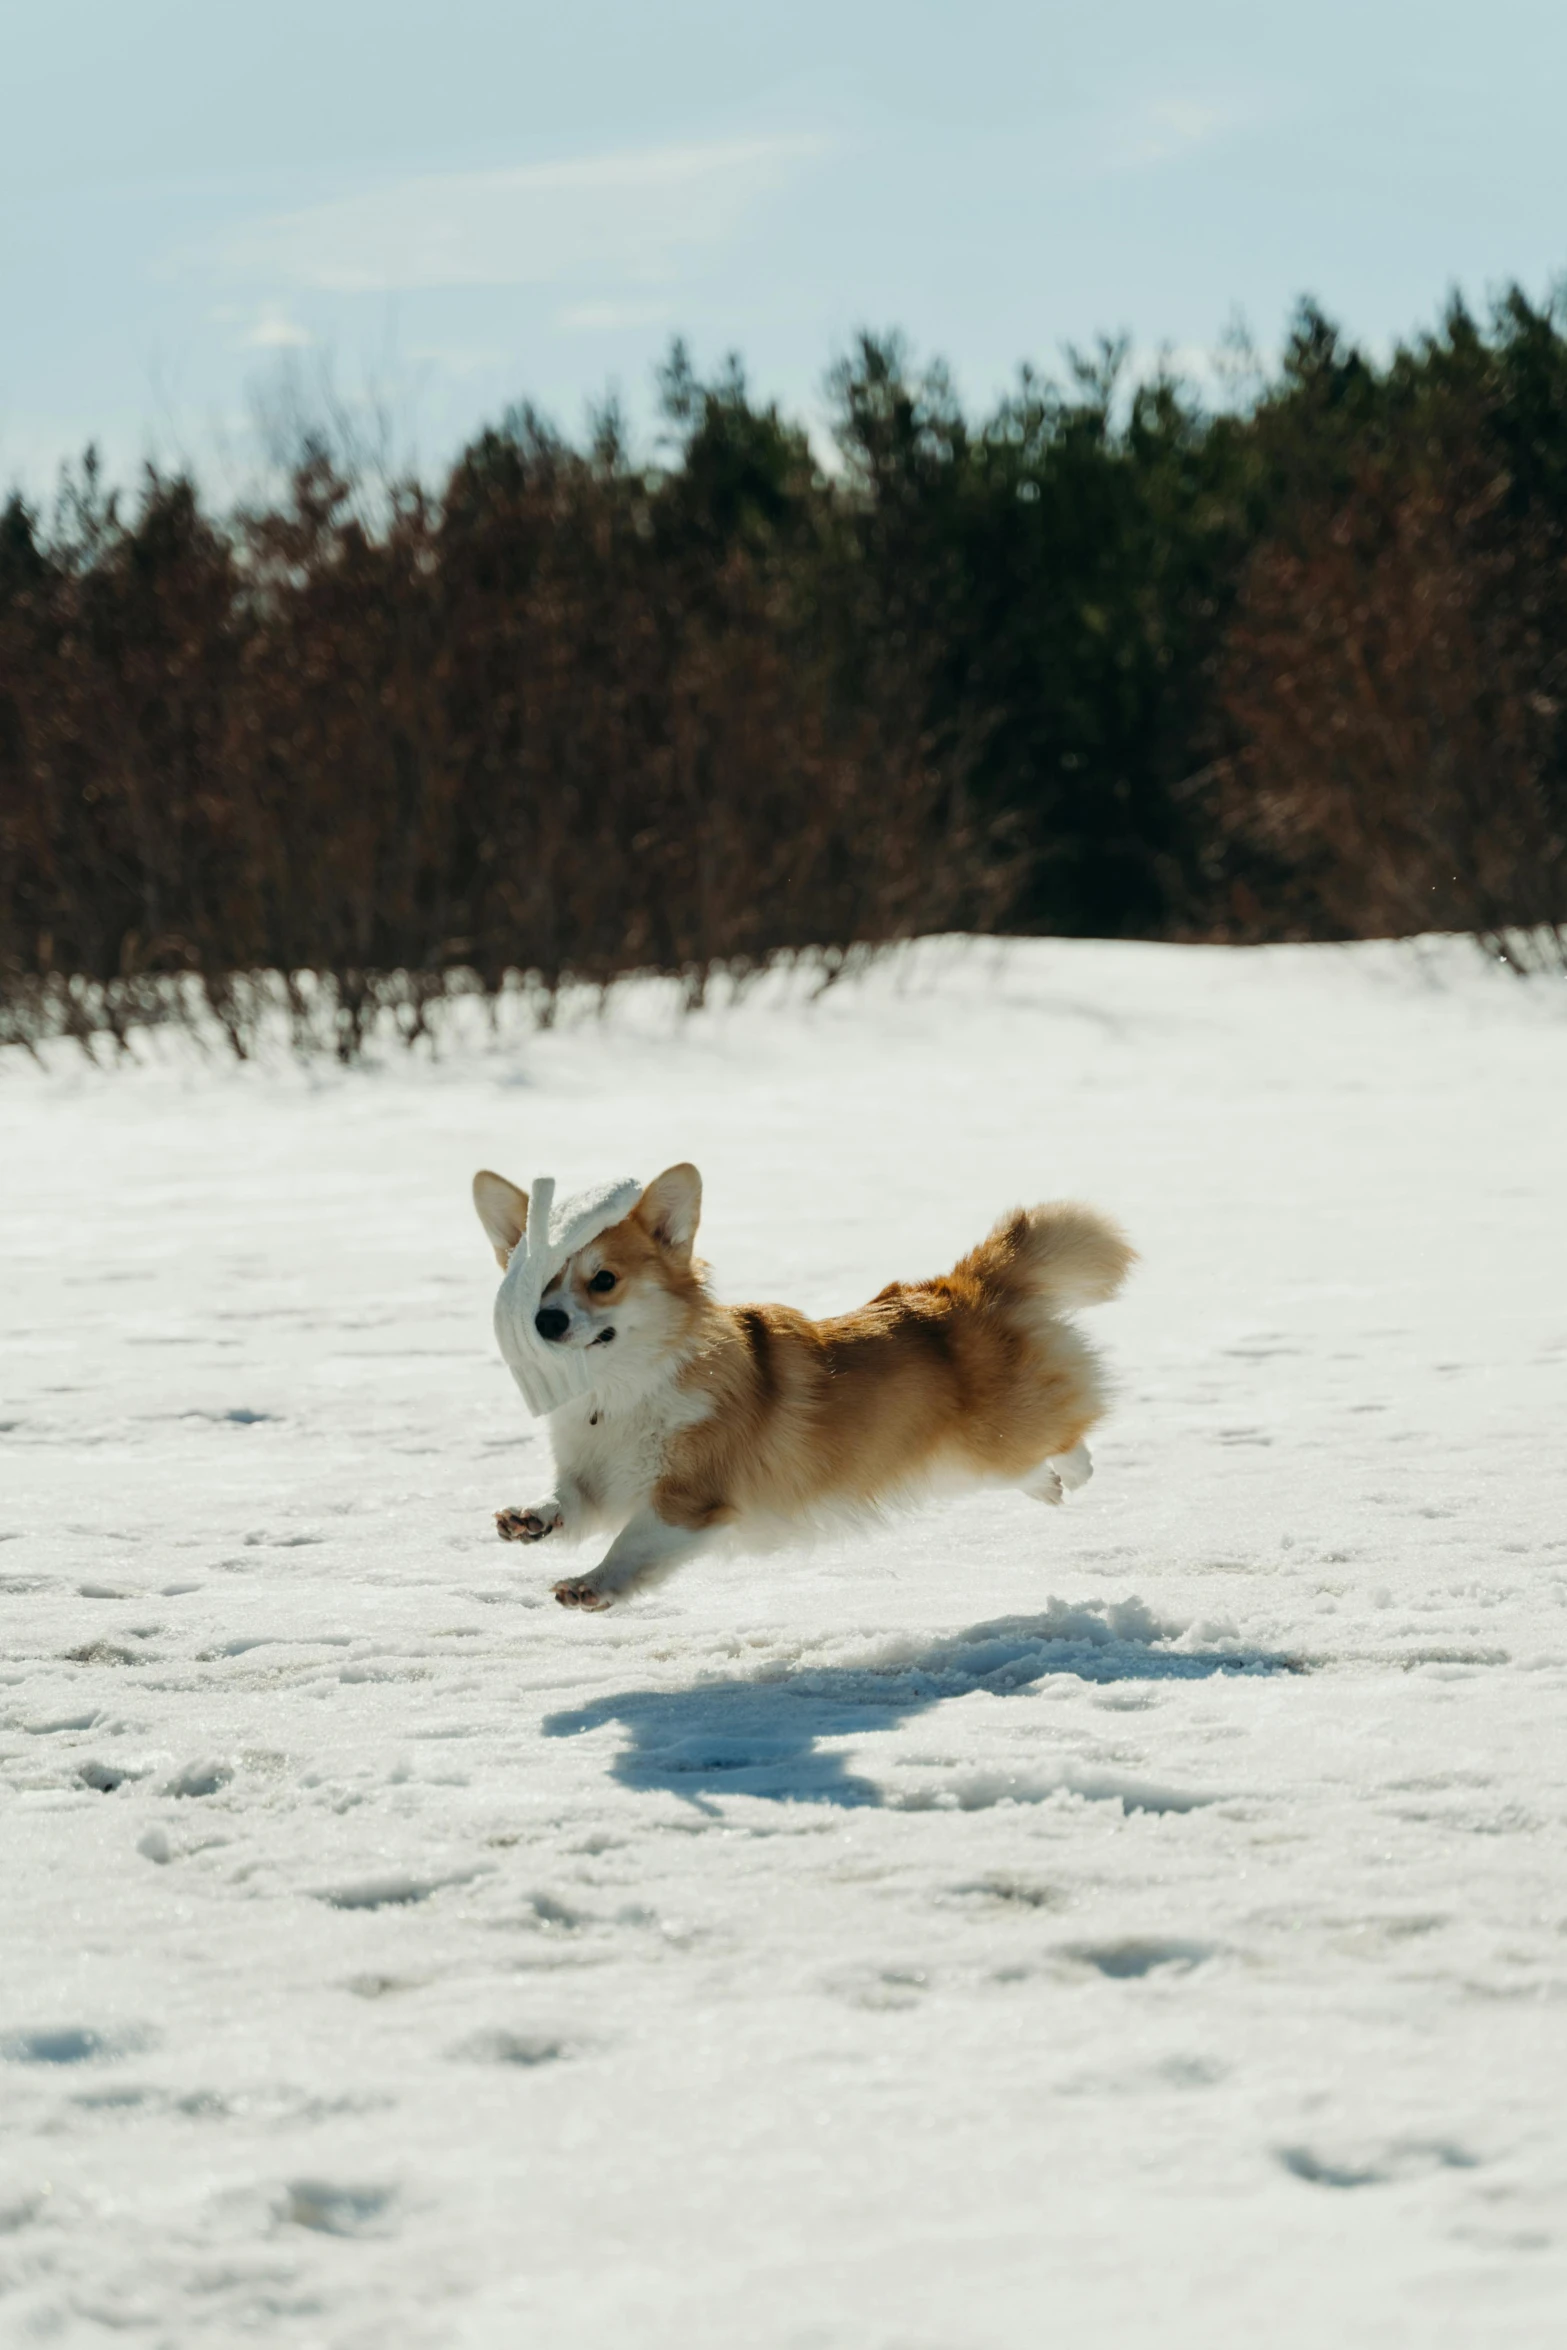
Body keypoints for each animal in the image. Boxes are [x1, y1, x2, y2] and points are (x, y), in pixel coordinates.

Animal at [472, 1160, 1132, 1607]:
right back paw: (1047, 1487)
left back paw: (1073, 1470)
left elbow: (631, 1544)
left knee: (1069, 1427)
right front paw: (529, 1519)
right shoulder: (598, 1479)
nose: (546, 1321)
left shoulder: (691, 1499)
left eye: (604, 1279)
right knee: (1023, 1467)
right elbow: (570, 1505)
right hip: (965, 1460)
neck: (617, 1392)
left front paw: (591, 1584)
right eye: (537, 1286)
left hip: (999, 1434)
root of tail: (963, 1285)